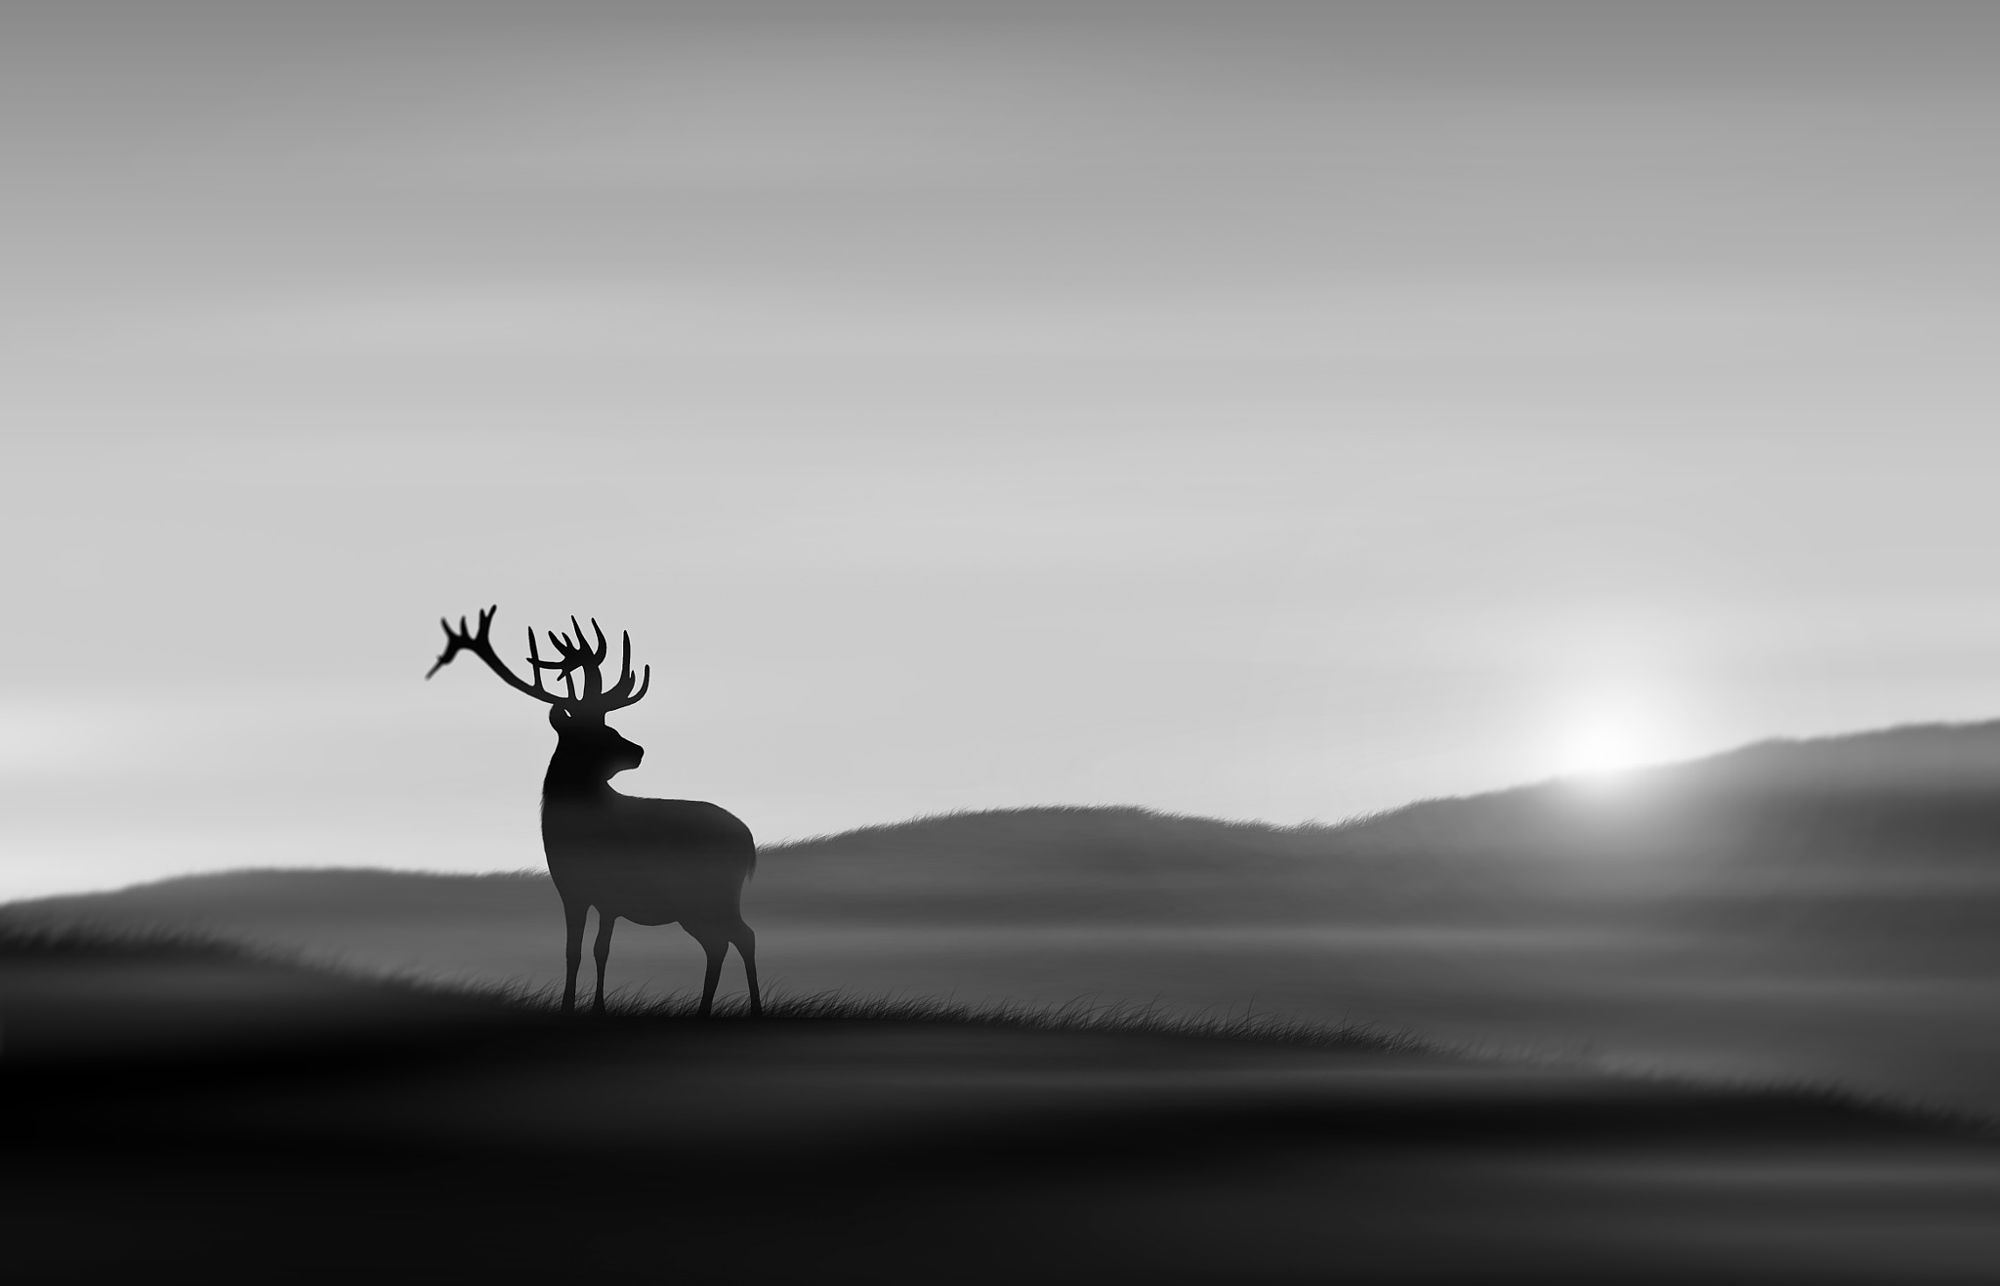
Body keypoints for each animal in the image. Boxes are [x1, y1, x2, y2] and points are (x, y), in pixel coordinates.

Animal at [426, 606, 761, 1019]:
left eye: (609, 725)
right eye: (595, 732)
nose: (639, 750)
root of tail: (748, 840)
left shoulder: (610, 892)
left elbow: (601, 950)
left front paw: (598, 1007)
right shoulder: (571, 891)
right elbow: (575, 951)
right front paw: (569, 1006)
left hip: (710, 893)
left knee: (741, 936)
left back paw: (753, 1008)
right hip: (698, 903)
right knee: (720, 942)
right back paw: (706, 1010)